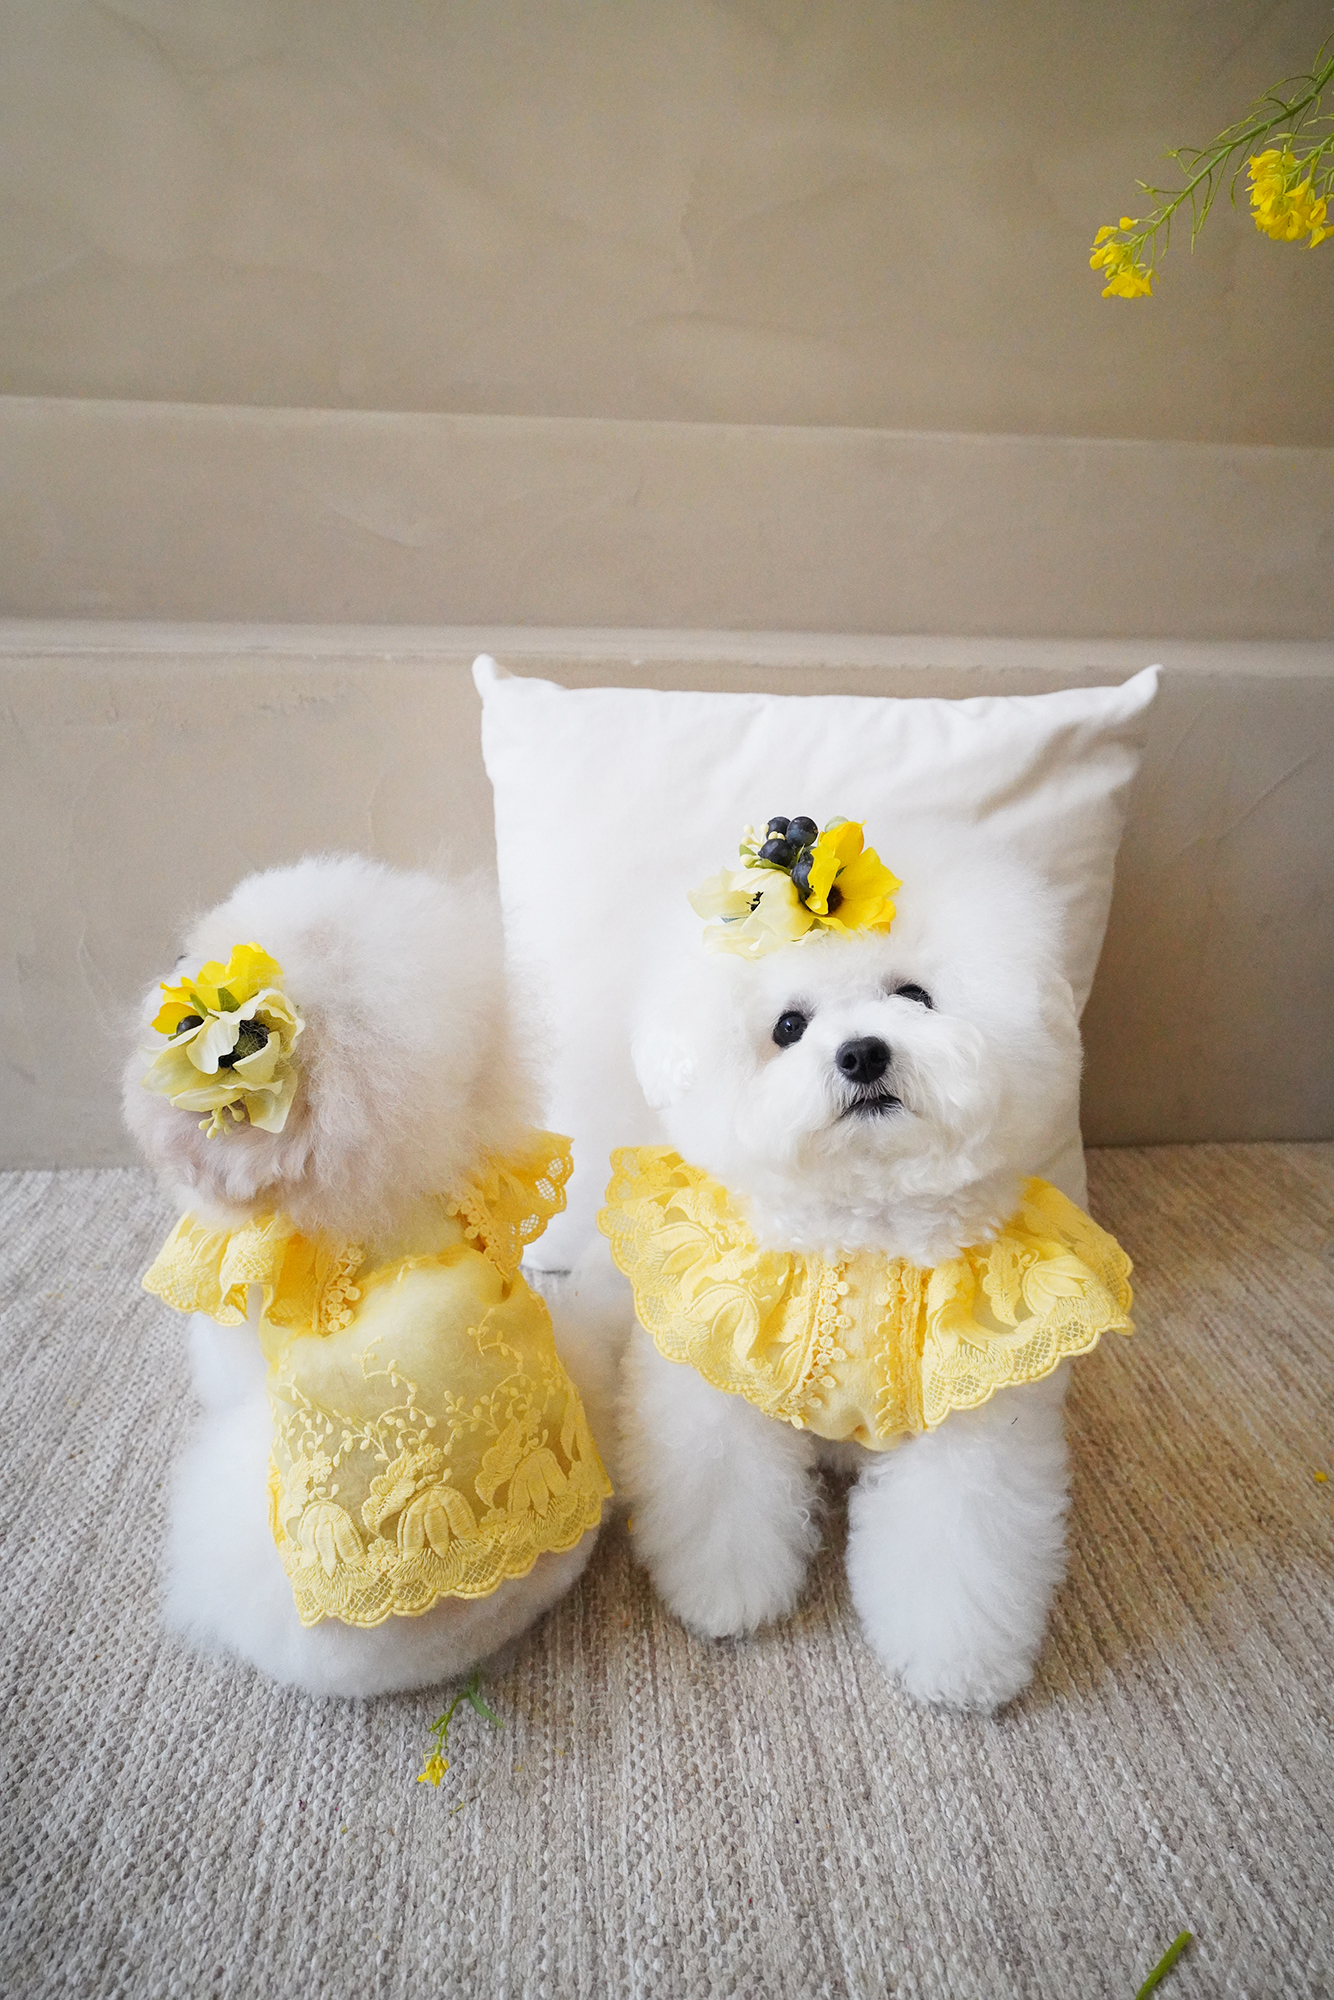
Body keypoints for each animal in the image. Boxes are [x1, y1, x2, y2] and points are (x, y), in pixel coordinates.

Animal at [601, 825, 1130, 1712]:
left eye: (914, 996)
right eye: (788, 1026)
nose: (861, 1053)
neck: (869, 1234)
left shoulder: (970, 1421)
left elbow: (956, 1545)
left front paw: (957, 1664)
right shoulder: (721, 1379)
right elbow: (724, 1495)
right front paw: (724, 1596)